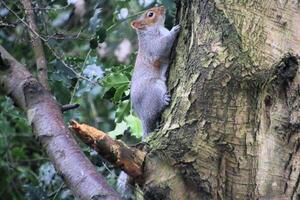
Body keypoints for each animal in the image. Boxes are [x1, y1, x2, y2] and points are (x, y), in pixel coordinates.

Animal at [116, 5, 179, 199]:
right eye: (150, 14)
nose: (163, 7)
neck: (153, 30)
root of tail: (143, 116)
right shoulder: (152, 47)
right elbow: (162, 47)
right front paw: (175, 30)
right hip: (155, 88)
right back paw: (165, 100)